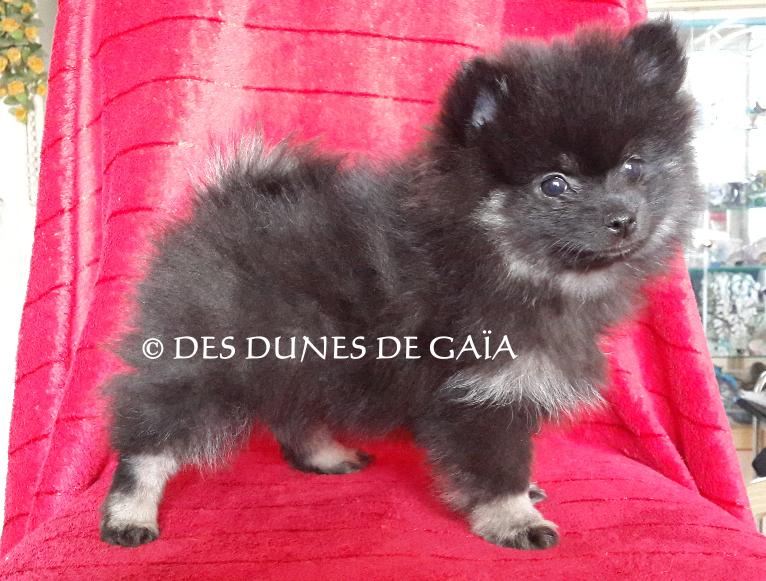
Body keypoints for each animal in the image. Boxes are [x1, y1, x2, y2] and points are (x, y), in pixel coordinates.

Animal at [100, 19, 701, 550]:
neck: (495, 256)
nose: (623, 219)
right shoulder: (481, 389)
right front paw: (514, 518)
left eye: (633, 168)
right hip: (210, 357)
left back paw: (325, 455)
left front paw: (524, 495)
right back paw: (129, 512)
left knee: (293, 409)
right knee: (149, 436)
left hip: (299, 349)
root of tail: (221, 201)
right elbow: (496, 462)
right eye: (554, 184)